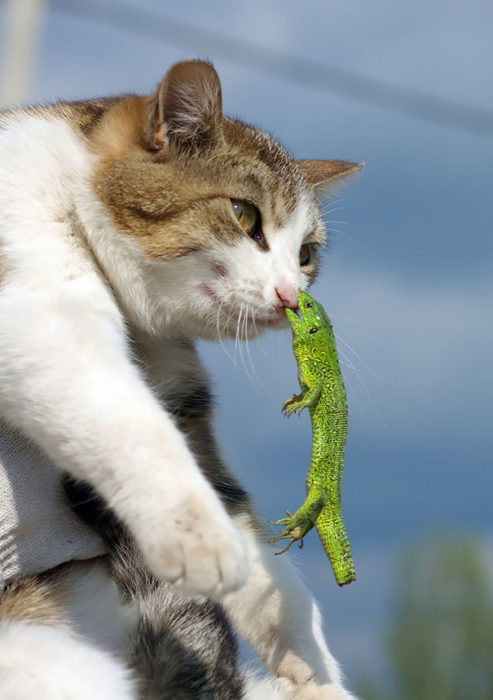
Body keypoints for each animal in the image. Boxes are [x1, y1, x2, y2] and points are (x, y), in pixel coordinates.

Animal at [0, 61, 362, 700]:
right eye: (245, 216)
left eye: (307, 254)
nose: (290, 295)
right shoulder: (41, 307)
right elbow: (125, 418)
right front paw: (201, 539)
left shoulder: (182, 400)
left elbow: (259, 554)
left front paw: (313, 672)